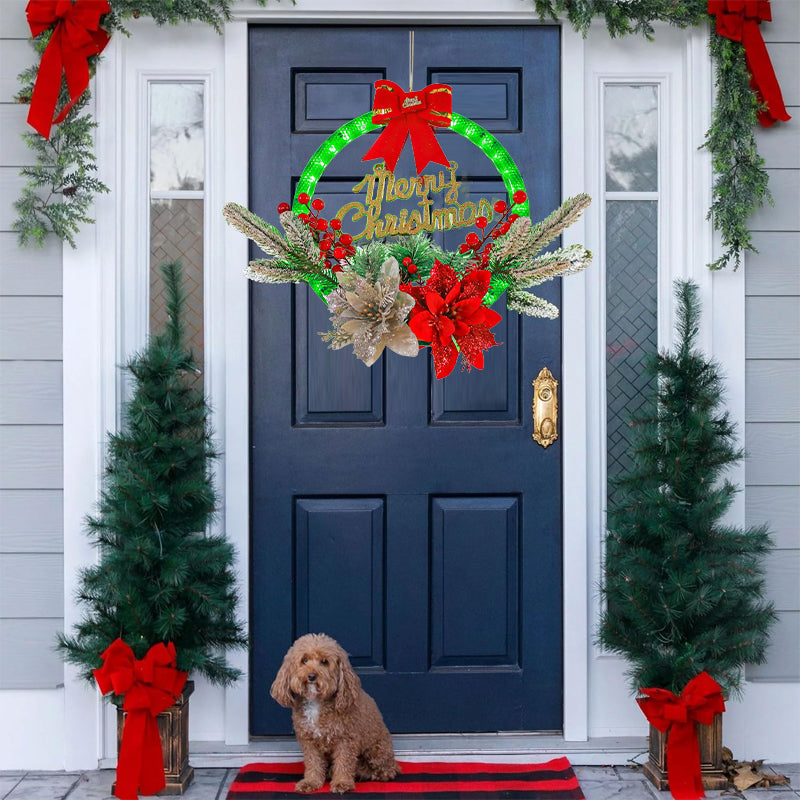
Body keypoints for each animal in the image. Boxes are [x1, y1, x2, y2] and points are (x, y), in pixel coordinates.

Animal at [272, 632, 400, 792]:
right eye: (304, 660)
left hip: (377, 750)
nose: (311, 676)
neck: (316, 702)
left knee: (387, 769)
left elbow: (344, 762)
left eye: (324, 661)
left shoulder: (346, 739)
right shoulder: (308, 740)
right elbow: (313, 762)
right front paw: (311, 782)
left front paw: (342, 783)